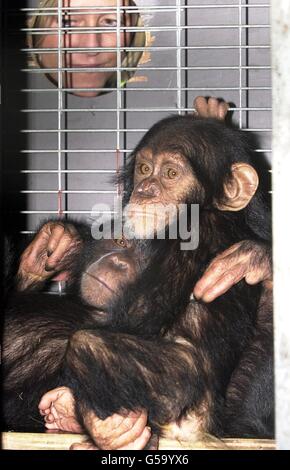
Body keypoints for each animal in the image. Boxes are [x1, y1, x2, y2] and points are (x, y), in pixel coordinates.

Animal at [2, 114, 274, 448]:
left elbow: (168, 346)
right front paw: (55, 244)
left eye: (171, 173)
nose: (146, 191)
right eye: (145, 169)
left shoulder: (201, 234)